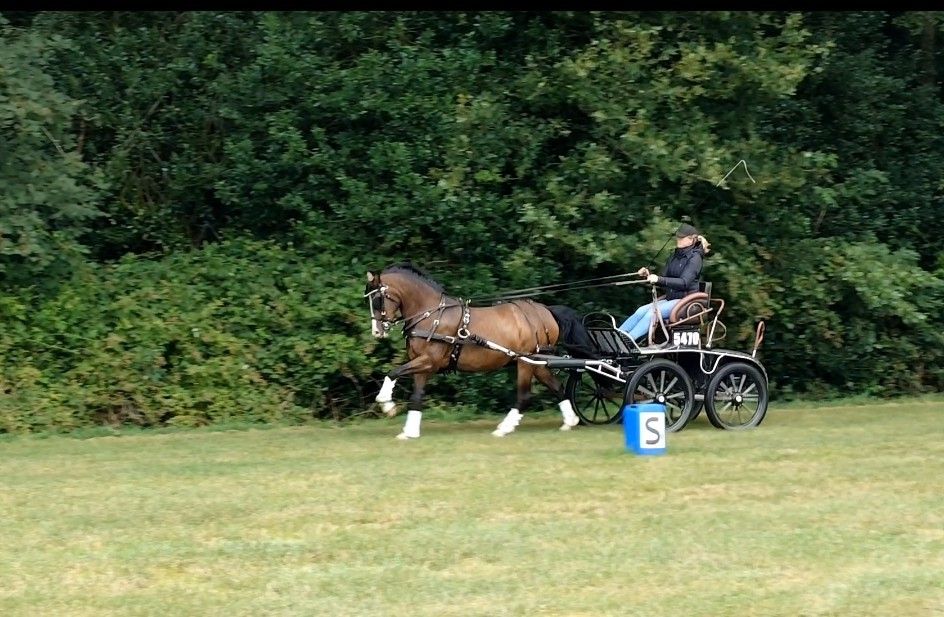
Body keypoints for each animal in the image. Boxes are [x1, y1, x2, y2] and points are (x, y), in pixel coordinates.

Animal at [364, 263, 598, 440]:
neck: (431, 315)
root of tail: (546, 311)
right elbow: (417, 395)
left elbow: (393, 373)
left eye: (378, 299)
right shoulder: (422, 363)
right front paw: (410, 431)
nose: (377, 332)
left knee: (524, 396)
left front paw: (387, 404)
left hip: (525, 362)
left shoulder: (429, 360)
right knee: (557, 387)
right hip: (536, 362)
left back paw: (503, 428)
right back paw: (570, 421)